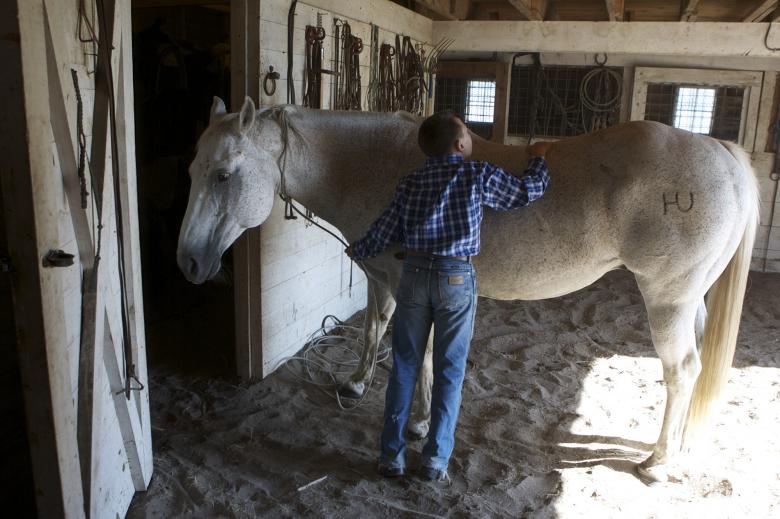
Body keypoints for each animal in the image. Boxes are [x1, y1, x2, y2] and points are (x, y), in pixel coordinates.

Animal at [177, 96, 758, 484]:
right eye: (193, 169)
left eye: (224, 175)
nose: (188, 261)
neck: (373, 163)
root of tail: (722, 153)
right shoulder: (380, 279)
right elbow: (373, 330)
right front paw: (357, 384)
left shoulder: (409, 285)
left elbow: (418, 355)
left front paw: (415, 425)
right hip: (690, 302)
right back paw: (674, 447)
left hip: (668, 301)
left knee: (681, 372)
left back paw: (658, 462)